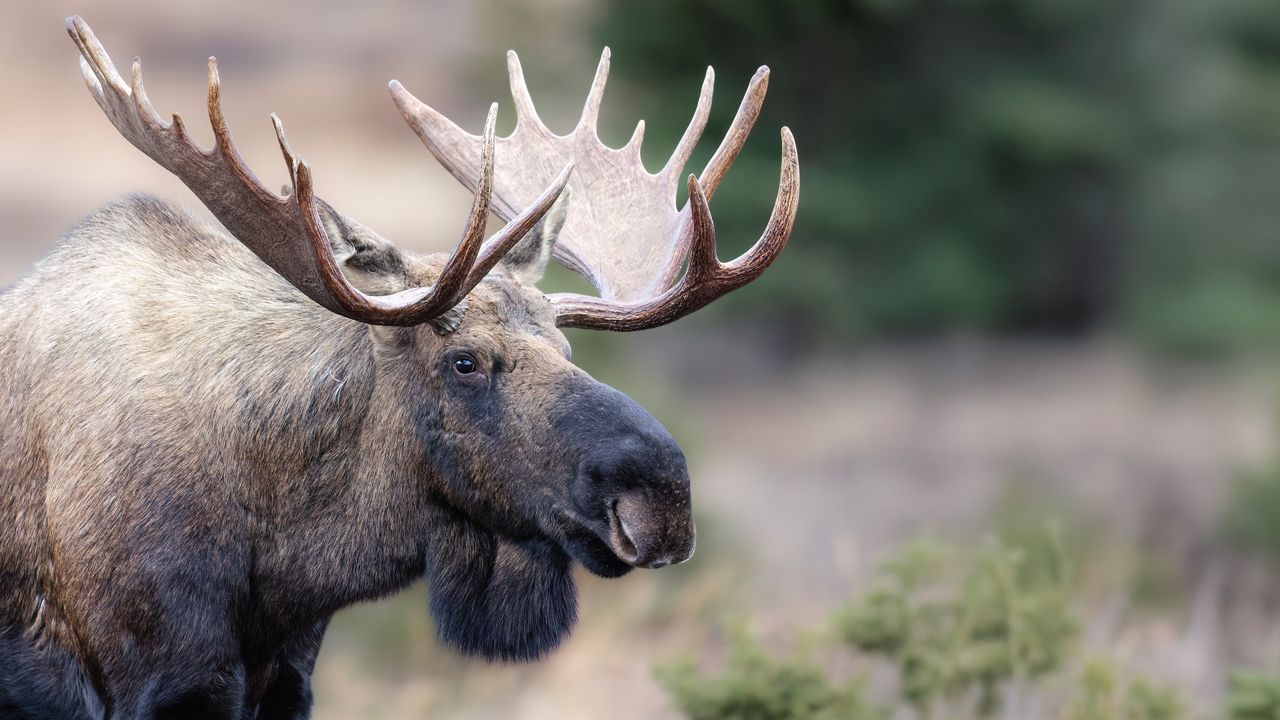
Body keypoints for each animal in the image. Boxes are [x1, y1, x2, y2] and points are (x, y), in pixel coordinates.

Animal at [0, 16, 799, 720]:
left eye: (567, 349)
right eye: (464, 361)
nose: (661, 500)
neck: (288, 560)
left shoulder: (288, 676)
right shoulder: (161, 675)